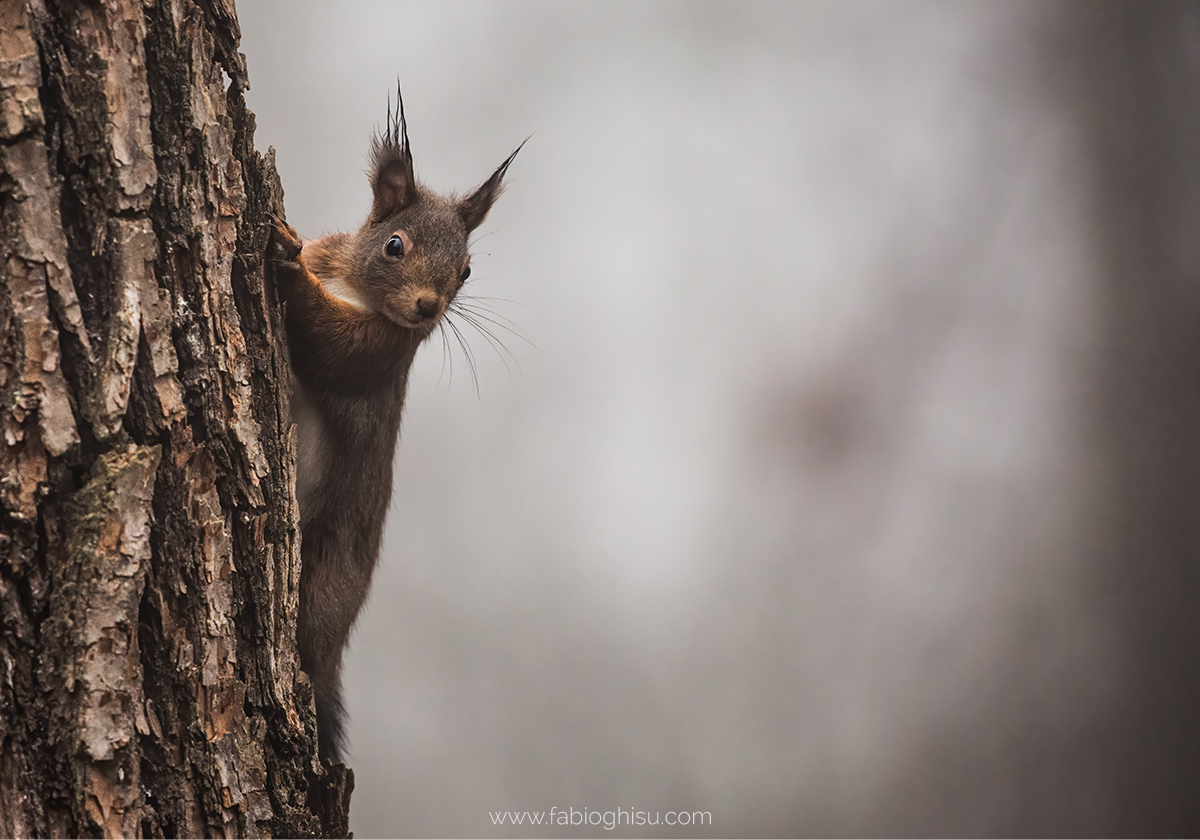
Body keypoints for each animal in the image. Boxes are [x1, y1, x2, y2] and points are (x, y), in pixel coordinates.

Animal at [270, 87, 518, 763]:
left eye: (465, 271)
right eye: (395, 245)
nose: (428, 308)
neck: (355, 289)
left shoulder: (377, 355)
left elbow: (327, 347)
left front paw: (287, 268)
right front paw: (292, 245)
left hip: (325, 575)